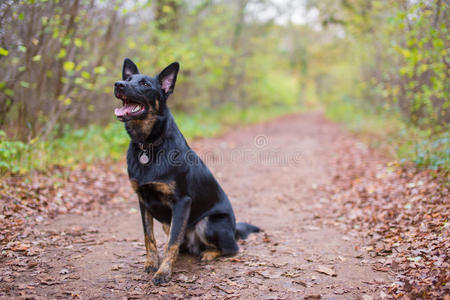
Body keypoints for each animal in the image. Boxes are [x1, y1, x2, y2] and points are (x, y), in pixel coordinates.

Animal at [113, 59, 260, 286]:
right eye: (128, 79)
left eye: (145, 84)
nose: (118, 84)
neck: (149, 146)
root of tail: (234, 230)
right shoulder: (142, 200)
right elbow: (149, 237)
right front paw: (152, 263)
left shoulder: (182, 202)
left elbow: (172, 242)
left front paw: (163, 272)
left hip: (207, 223)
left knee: (232, 249)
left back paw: (209, 253)